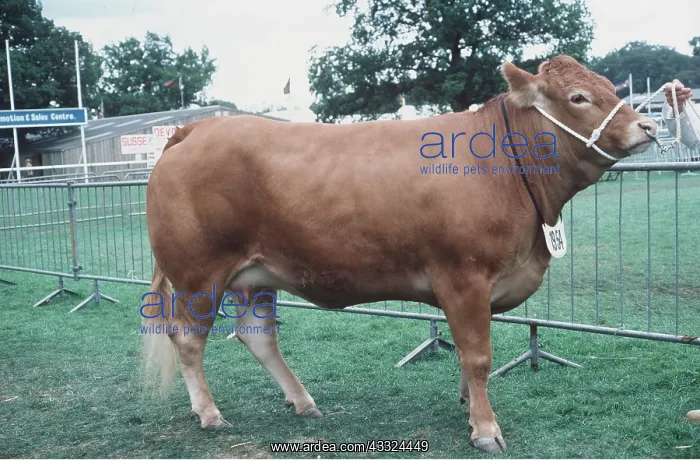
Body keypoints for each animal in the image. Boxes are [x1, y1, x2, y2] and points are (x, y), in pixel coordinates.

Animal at [142, 55, 657, 453]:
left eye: (609, 85)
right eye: (578, 98)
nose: (648, 125)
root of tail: (196, 128)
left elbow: (466, 358)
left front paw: (468, 407)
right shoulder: (463, 277)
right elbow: (477, 356)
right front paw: (485, 429)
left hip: (257, 276)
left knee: (258, 336)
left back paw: (304, 402)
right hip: (199, 275)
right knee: (187, 338)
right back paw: (210, 414)